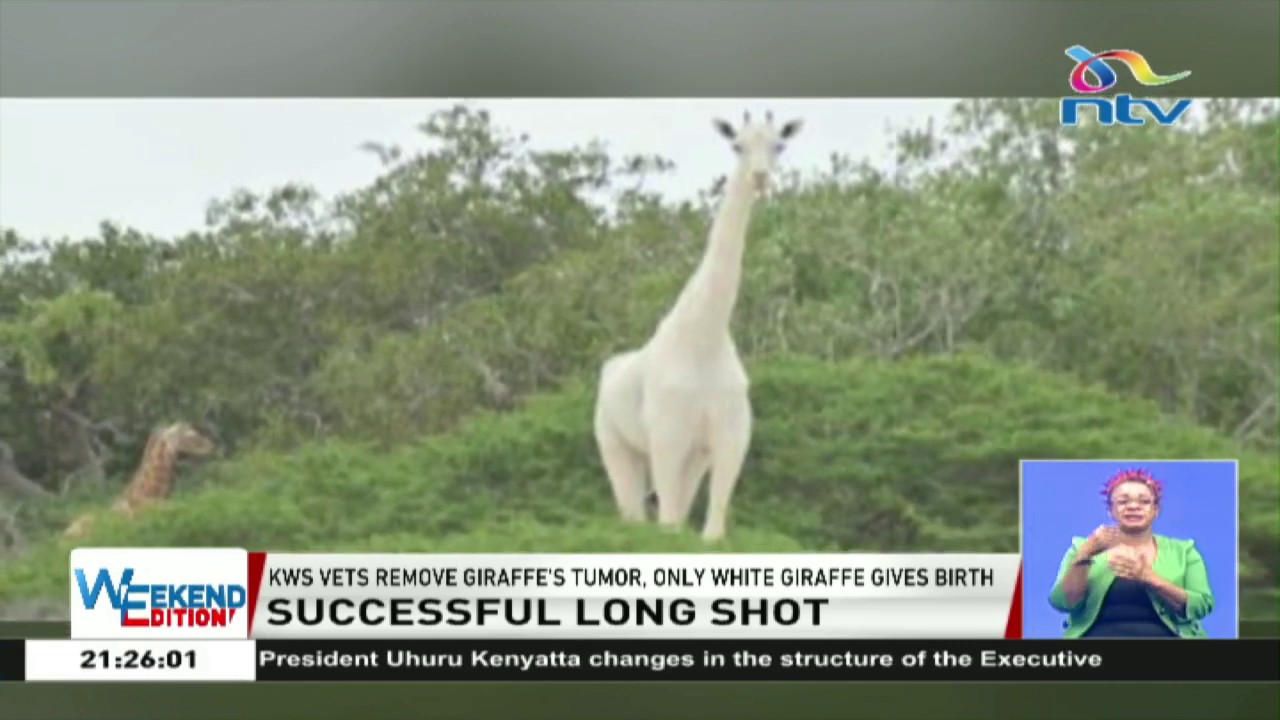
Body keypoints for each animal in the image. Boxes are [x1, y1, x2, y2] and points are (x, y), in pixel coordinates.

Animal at [593, 110, 803, 542]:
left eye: (779, 145)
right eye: (736, 145)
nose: (759, 177)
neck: (703, 337)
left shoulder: (731, 435)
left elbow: (711, 531)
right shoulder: (667, 435)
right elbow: (669, 525)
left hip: (691, 456)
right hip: (614, 442)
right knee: (633, 512)